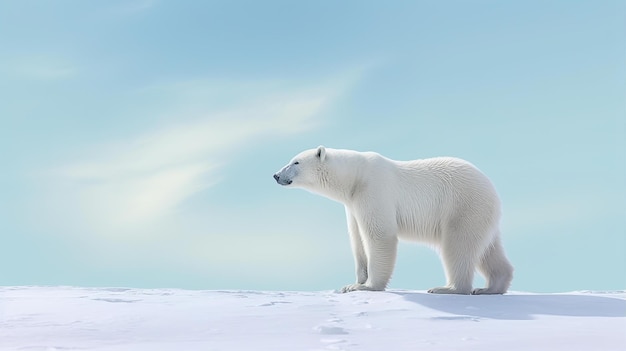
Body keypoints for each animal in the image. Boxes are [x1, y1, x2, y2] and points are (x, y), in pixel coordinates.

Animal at [272, 146, 512, 294]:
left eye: (296, 162)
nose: (276, 175)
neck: (354, 178)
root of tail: (492, 188)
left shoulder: (373, 190)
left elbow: (379, 235)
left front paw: (366, 287)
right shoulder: (352, 204)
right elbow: (357, 240)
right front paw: (352, 283)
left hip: (462, 206)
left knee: (458, 246)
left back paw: (448, 288)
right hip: (481, 214)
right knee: (488, 250)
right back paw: (489, 288)